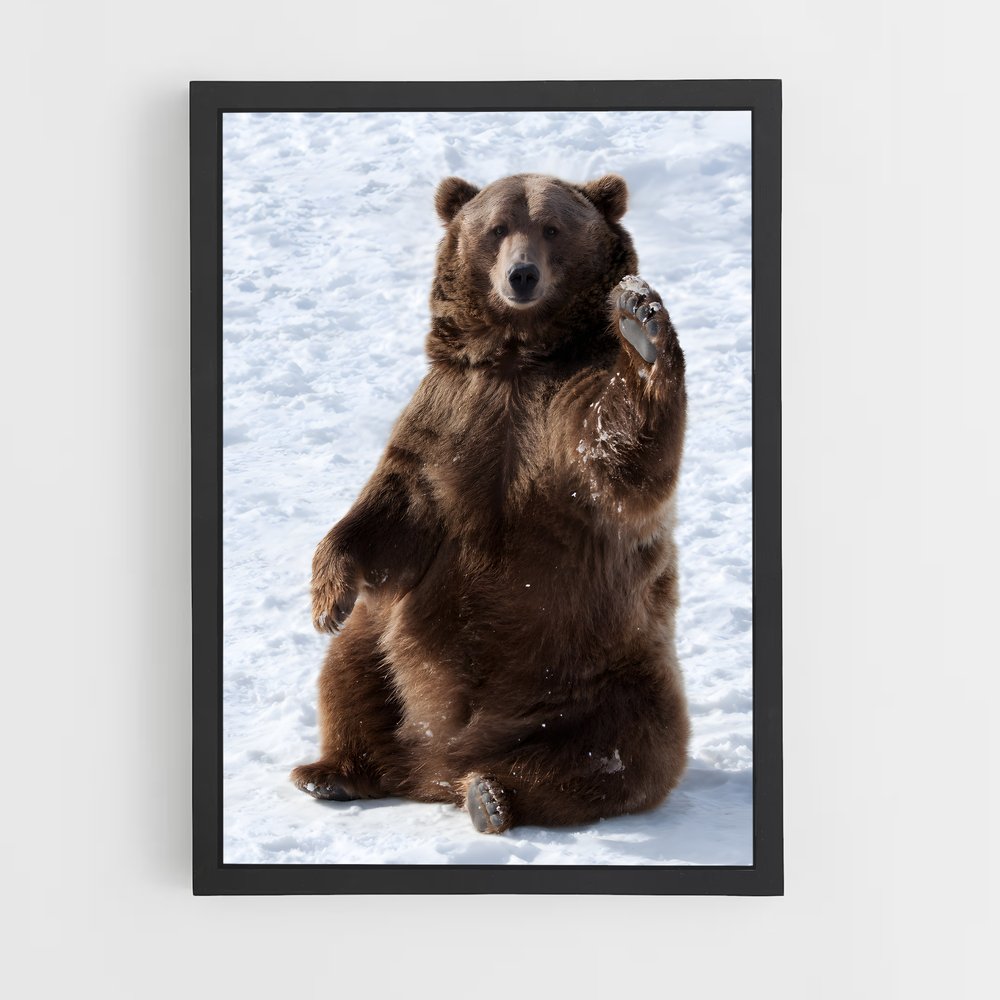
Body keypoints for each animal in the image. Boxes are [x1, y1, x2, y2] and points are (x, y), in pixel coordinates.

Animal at [291, 172, 690, 834]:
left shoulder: (563, 408)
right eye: (497, 227)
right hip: (386, 646)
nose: (521, 275)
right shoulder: (451, 411)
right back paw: (333, 771)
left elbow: (621, 457)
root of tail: (435, 766)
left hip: (608, 672)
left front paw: (640, 322)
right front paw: (327, 597)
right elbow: (394, 506)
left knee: (626, 749)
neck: (517, 356)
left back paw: (493, 795)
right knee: (350, 673)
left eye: (551, 227)